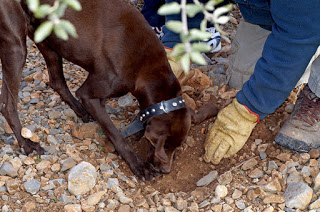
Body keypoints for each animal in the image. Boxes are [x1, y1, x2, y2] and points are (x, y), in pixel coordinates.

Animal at [0, 0, 218, 180]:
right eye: (163, 146)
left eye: (177, 147)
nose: (166, 171)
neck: (146, 67)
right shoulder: (90, 94)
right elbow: (115, 134)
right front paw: (138, 165)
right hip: (16, 45)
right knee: (7, 105)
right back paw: (27, 144)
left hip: (48, 39)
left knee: (56, 82)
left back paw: (80, 111)